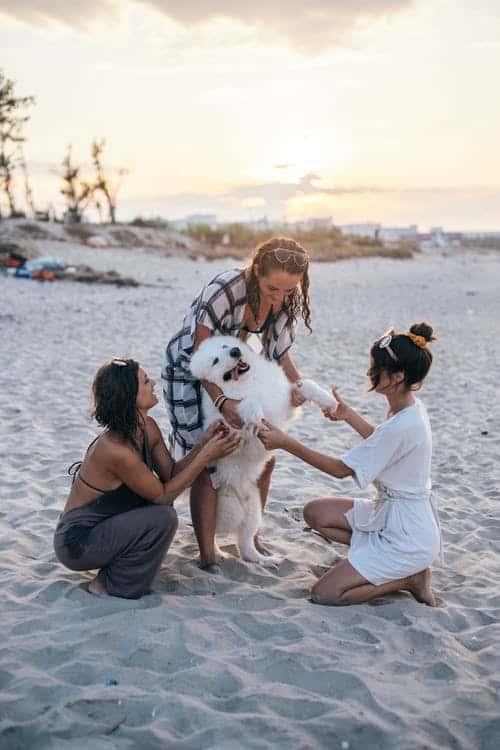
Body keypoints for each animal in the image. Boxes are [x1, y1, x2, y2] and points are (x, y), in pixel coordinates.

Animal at [188, 336, 336, 564]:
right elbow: (248, 404)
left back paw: (263, 560)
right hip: (224, 510)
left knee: (245, 544)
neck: (248, 381)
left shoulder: (285, 405)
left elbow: (306, 385)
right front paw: (256, 414)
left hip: (253, 511)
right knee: (210, 534)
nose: (235, 351)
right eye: (215, 361)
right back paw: (217, 555)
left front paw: (329, 401)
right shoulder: (232, 427)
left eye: (224, 346)